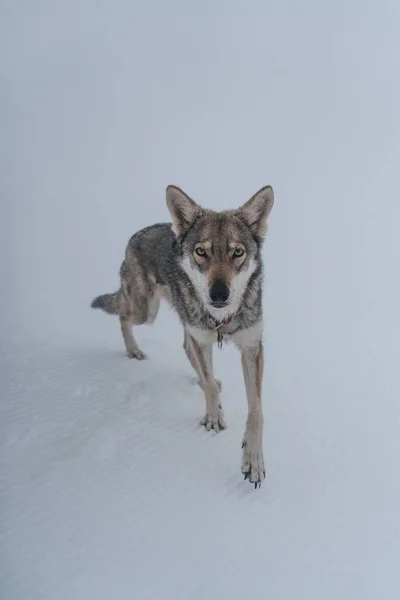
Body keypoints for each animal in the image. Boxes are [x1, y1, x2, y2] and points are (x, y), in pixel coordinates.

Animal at [92, 184, 276, 488]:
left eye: (237, 252)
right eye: (201, 252)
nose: (219, 294)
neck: (221, 322)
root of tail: (136, 235)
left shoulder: (252, 348)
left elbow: (257, 410)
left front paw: (254, 463)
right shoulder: (203, 338)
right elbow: (211, 387)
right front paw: (213, 418)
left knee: (186, 349)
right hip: (146, 311)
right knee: (123, 317)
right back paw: (134, 352)